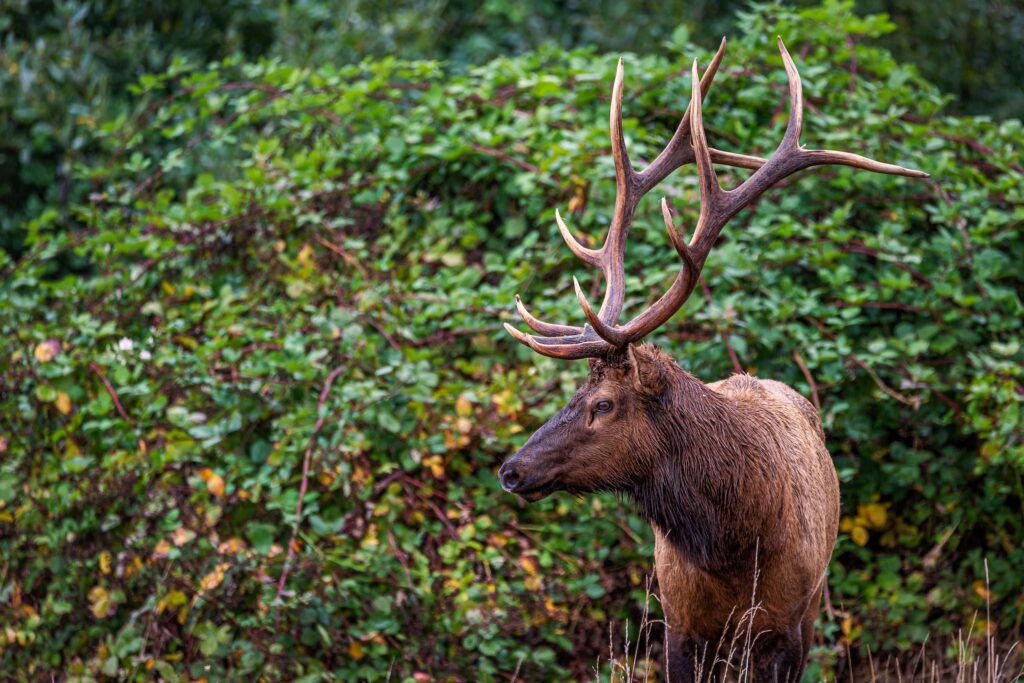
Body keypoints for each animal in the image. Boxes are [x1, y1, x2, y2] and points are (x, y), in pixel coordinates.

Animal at [498, 38, 926, 682]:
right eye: (573, 395)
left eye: (604, 404)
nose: (511, 469)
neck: (734, 543)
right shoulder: (678, 624)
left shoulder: (789, 627)